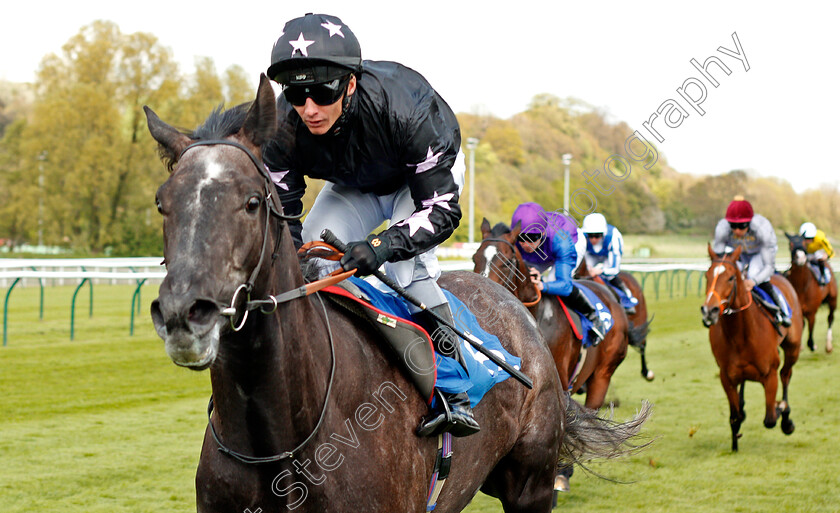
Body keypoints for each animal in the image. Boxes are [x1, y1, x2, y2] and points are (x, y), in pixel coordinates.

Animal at [700, 243, 804, 448]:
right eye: (707, 276)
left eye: (731, 277)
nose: (709, 311)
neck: (740, 335)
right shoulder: (726, 377)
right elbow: (734, 417)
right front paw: (735, 442)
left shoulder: (770, 375)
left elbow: (770, 418)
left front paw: (782, 409)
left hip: (793, 348)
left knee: (786, 374)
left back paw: (786, 416)